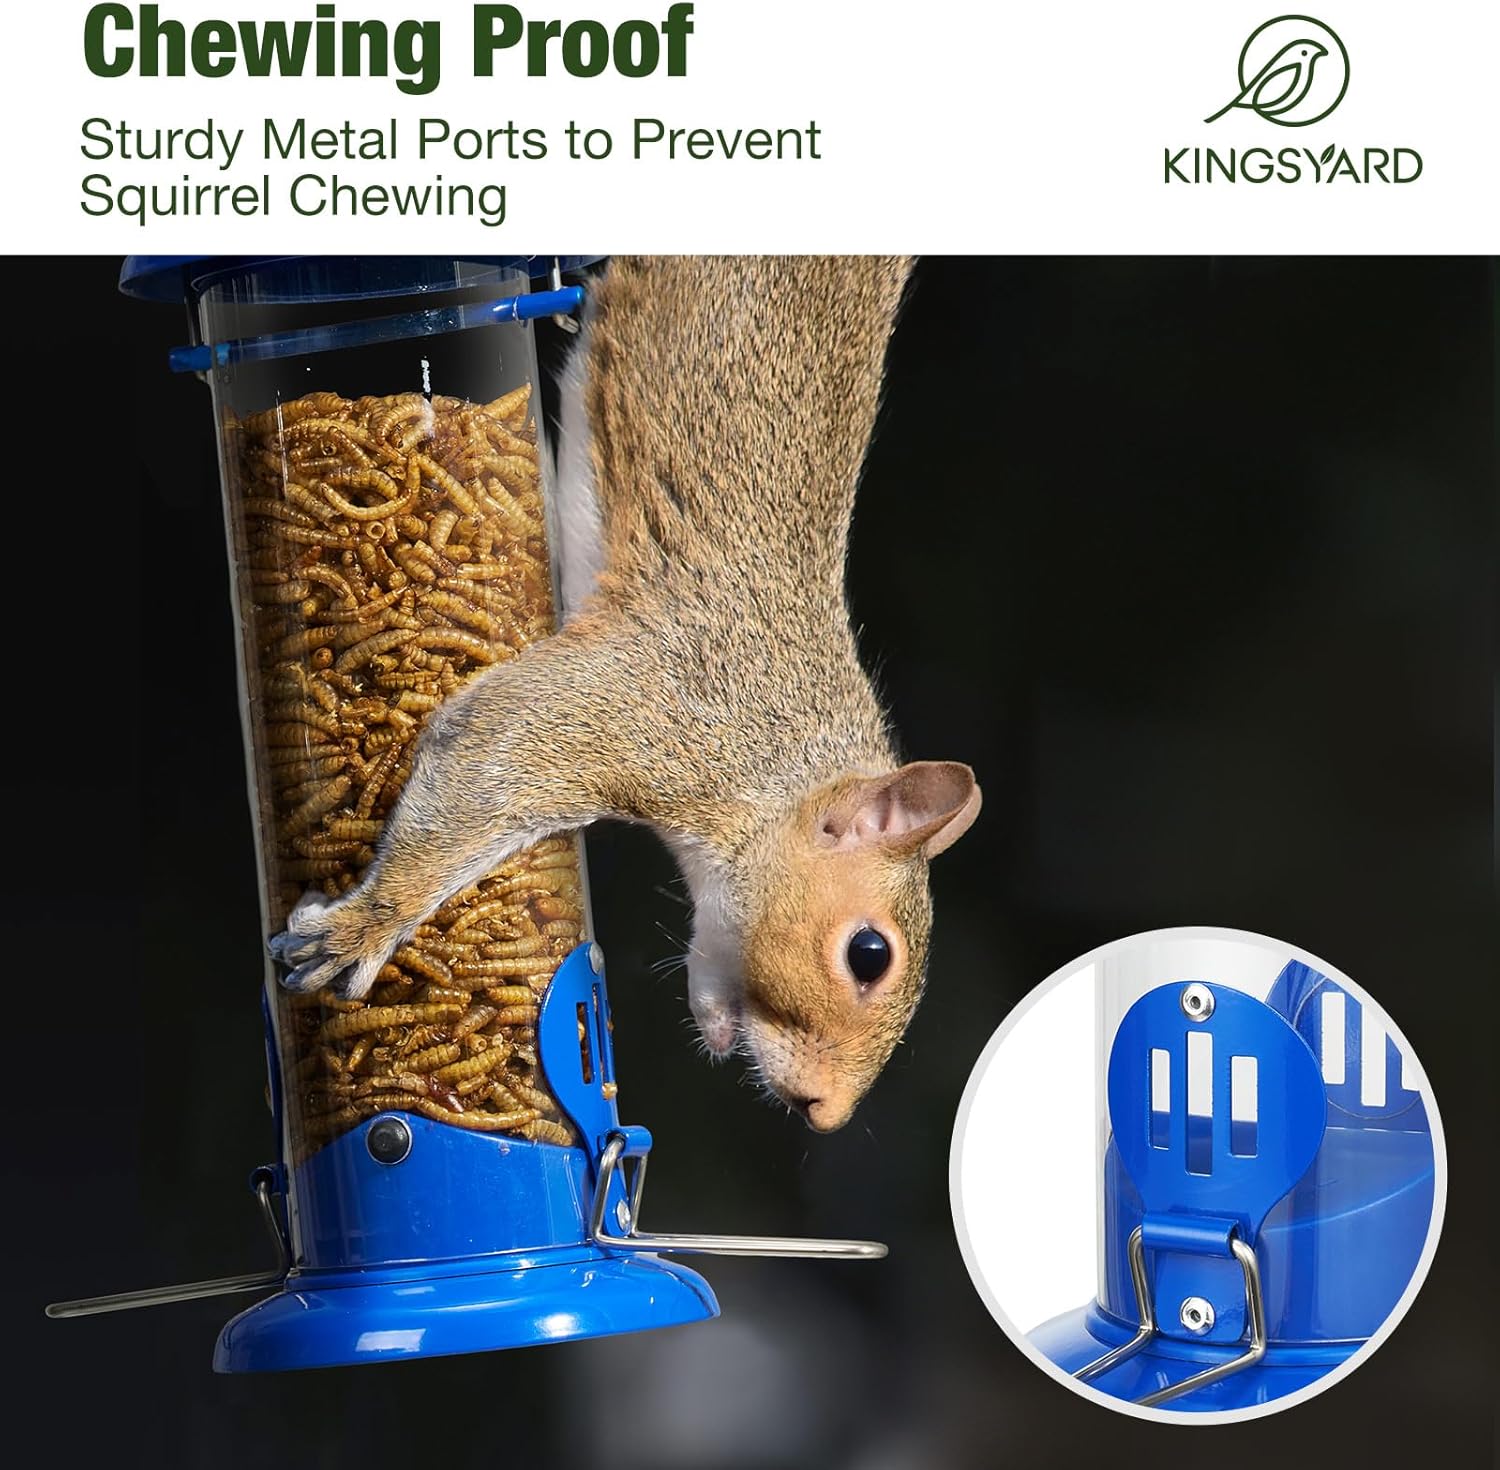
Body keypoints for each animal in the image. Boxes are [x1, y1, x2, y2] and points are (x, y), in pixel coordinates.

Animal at [272, 256, 981, 1132]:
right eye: (870, 954)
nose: (826, 1114)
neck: (771, 756)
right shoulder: (645, 709)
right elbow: (488, 761)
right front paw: (361, 929)